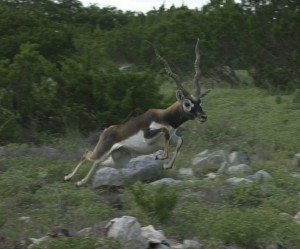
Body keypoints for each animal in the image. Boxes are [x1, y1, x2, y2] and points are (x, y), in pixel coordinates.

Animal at [65, 39, 211, 186]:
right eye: (187, 104)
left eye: (200, 103)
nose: (203, 117)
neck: (164, 117)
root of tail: (108, 130)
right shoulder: (149, 136)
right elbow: (164, 132)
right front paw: (161, 157)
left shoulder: (172, 138)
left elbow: (180, 141)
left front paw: (166, 166)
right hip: (102, 151)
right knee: (87, 154)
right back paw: (69, 178)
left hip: (119, 160)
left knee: (97, 163)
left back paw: (80, 182)